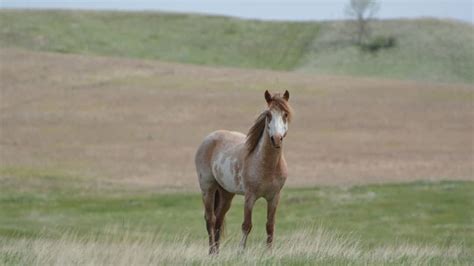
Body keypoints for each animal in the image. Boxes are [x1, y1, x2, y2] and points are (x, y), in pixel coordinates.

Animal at [193, 90, 292, 254]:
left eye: (285, 114)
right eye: (268, 115)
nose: (276, 139)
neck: (268, 166)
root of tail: (208, 138)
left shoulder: (274, 197)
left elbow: (270, 226)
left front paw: (269, 253)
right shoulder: (250, 197)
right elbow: (246, 225)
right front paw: (241, 252)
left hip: (226, 194)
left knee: (218, 219)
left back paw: (217, 253)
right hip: (208, 188)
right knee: (210, 219)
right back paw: (212, 252)